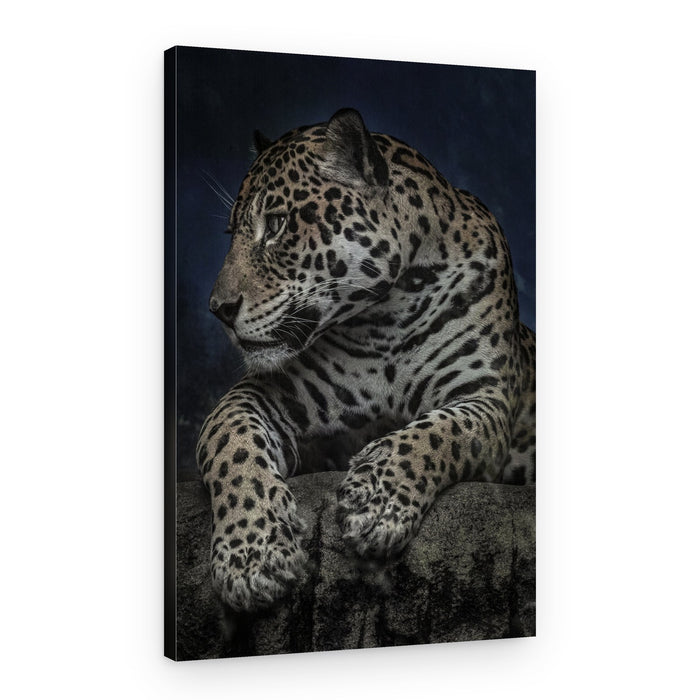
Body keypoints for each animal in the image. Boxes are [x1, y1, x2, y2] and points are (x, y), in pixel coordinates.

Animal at [196, 108, 535, 613]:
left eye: (276, 225)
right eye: (231, 234)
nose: (218, 309)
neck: (388, 315)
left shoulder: (485, 399)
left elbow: (440, 432)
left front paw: (375, 501)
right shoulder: (265, 392)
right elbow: (230, 442)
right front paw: (252, 554)